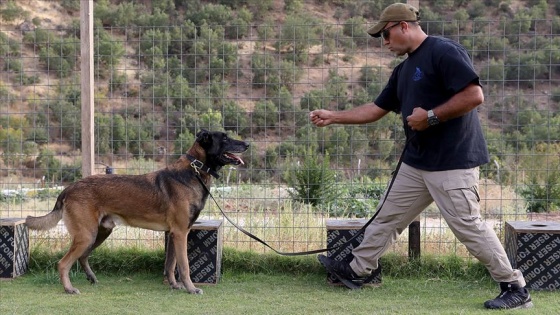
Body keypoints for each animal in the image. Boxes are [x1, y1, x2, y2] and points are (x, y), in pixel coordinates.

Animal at [25, 130, 249, 296]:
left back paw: (91, 278)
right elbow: (184, 266)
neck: (194, 171)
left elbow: (170, 265)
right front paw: (191, 288)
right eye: (225, 138)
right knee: (63, 263)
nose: (247, 144)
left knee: (82, 257)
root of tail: (68, 189)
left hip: (99, 233)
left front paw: (174, 285)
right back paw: (69, 288)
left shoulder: (172, 234)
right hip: (86, 235)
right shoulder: (180, 233)